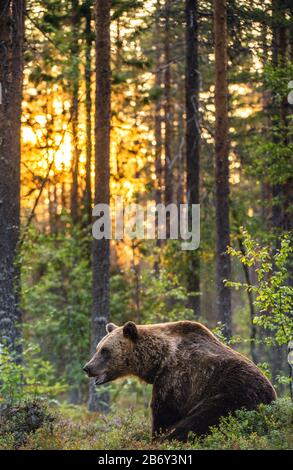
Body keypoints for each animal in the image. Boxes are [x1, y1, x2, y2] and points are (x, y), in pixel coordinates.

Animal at [82, 320, 276, 440]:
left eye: (105, 350)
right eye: (98, 348)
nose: (87, 367)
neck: (158, 360)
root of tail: (272, 398)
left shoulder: (175, 378)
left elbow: (165, 413)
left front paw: (156, 436)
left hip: (232, 395)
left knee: (195, 423)